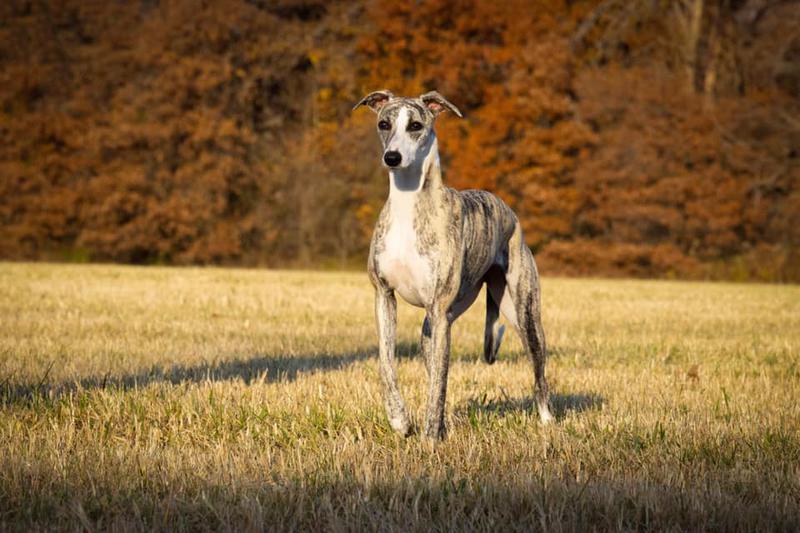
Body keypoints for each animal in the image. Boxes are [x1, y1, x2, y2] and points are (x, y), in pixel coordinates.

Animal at [354, 89, 552, 438]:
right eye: (384, 124)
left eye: (416, 125)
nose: (392, 157)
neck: (409, 206)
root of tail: (504, 206)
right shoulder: (384, 297)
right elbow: (387, 362)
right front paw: (399, 418)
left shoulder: (438, 307)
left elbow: (439, 384)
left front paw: (431, 436)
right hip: (436, 324)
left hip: (523, 314)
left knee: (538, 370)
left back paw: (547, 421)